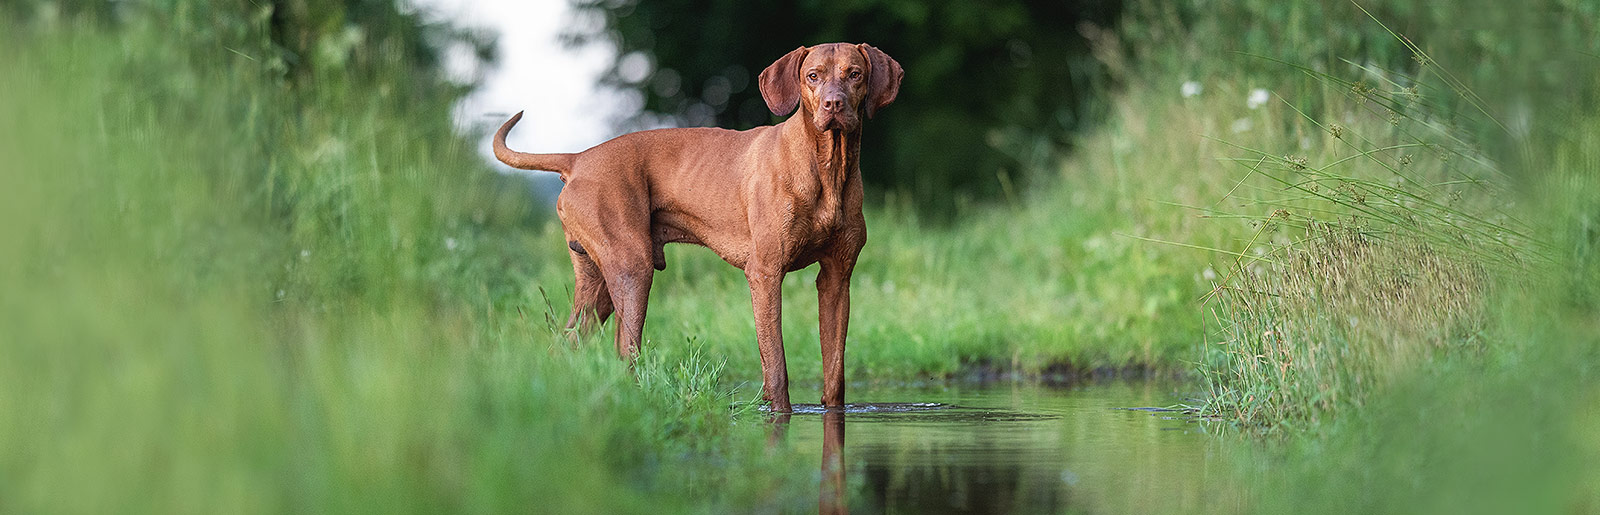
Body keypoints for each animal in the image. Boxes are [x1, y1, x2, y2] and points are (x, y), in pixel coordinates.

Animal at [489, 42, 902, 409]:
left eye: (855, 74)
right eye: (812, 76)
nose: (834, 104)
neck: (828, 167)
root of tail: (577, 159)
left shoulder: (836, 278)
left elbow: (835, 372)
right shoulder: (765, 273)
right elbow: (776, 366)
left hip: (599, 286)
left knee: (566, 343)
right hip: (632, 268)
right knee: (624, 349)